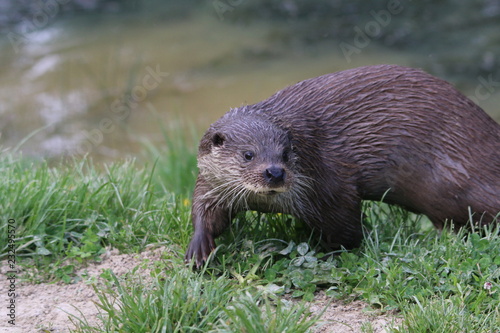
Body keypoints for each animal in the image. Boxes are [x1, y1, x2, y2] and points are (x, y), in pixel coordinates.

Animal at [185, 64, 500, 268]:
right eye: (248, 154)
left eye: (286, 153)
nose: (274, 172)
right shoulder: (211, 183)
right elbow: (206, 211)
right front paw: (199, 247)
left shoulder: (329, 186)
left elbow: (347, 231)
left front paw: (328, 256)